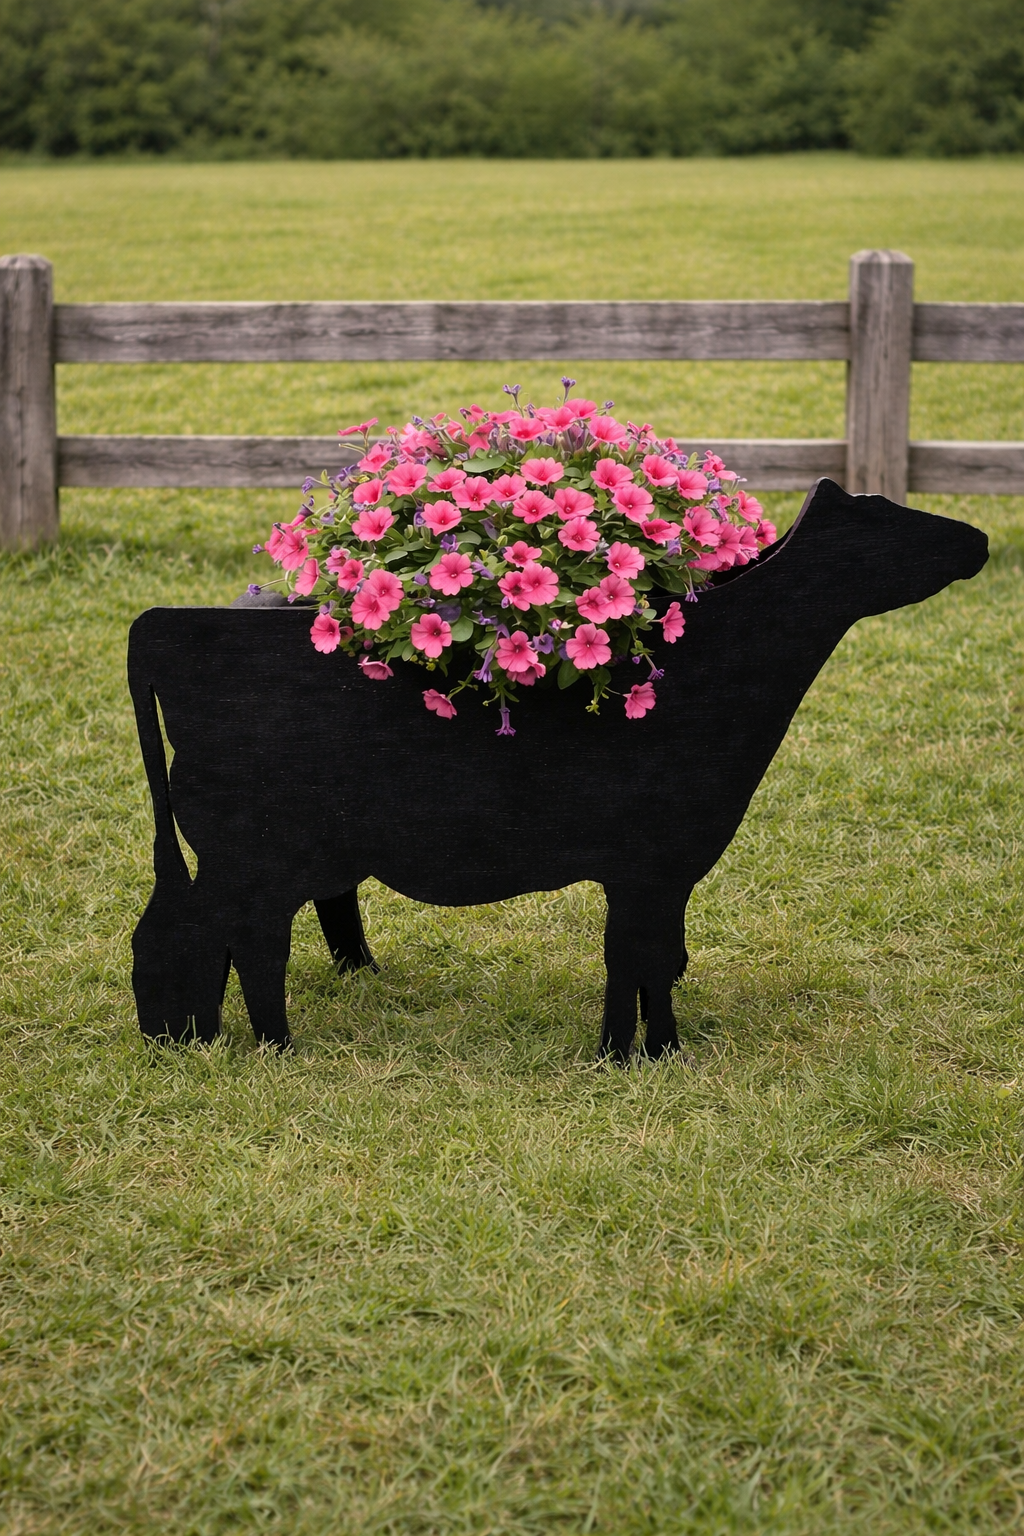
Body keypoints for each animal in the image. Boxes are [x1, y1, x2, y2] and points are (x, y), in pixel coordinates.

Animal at [128, 479, 988, 1062]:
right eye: (886, 515)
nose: (978, 540)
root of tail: (165, 624)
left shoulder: (658, 870)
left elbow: (651, 958)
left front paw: (642, 1049)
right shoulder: (650, 862)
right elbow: (639, 956)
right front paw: (641, 1055)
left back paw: (205, 1035)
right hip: (254, 851)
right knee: (231, 937)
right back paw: (267, 1045)